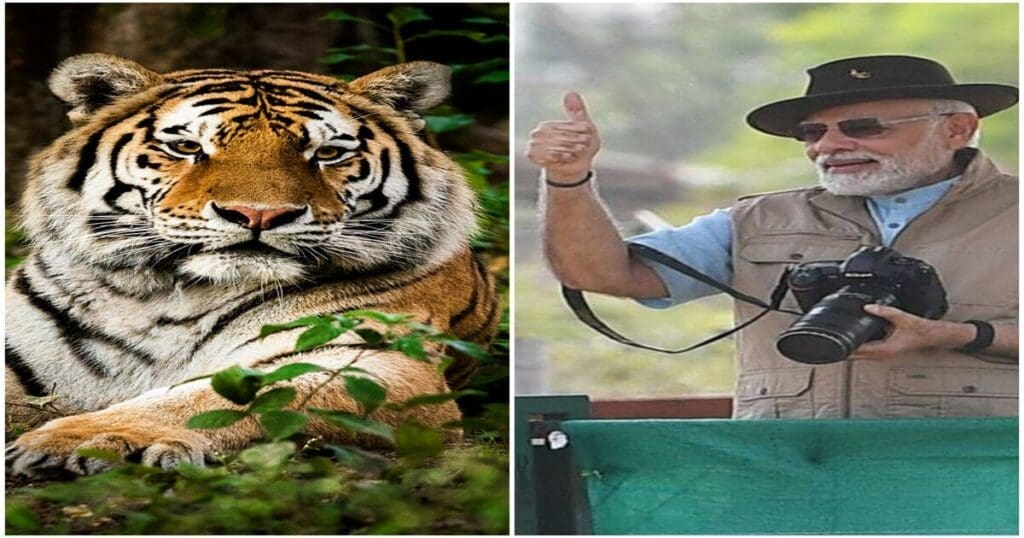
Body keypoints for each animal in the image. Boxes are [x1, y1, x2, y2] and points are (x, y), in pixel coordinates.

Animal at [5, 53, 501, 478]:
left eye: (327, 153)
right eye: (186, 146)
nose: (258, 214)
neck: (161, 296)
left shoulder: (376, 364)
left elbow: (226, 397)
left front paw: (88, 438)